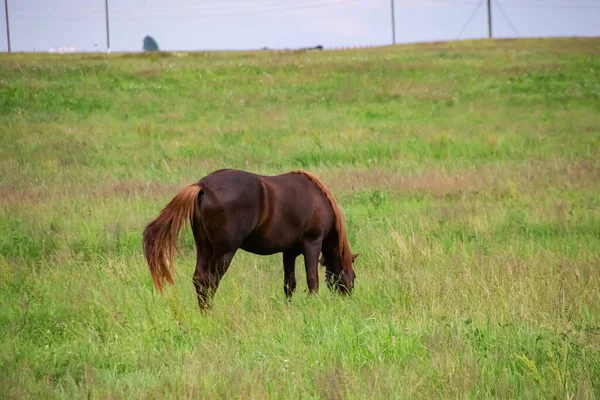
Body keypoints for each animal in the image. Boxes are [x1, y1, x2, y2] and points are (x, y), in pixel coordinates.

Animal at [143, 168, 358, 310]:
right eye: (354, 276)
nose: (349, 298)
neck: (319, 200)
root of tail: (203, 186)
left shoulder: (289, 252)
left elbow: (289, 284)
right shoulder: (312, 244)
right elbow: (312, 280)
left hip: (204, 247)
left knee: (199, 279)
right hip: (225, 251)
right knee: (210, 280)